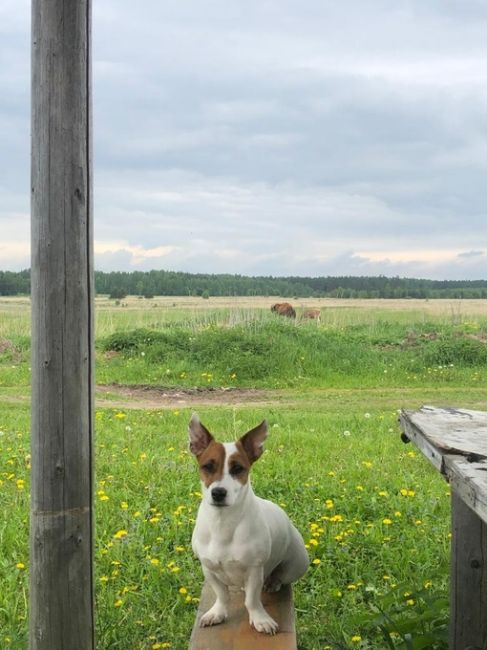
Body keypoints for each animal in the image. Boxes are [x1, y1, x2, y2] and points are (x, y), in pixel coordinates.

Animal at [189, 412, 310, 632]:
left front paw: (259, 619)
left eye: (238, 469)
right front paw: (218, 612)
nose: (218, 492)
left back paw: (273, 583)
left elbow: (252, 600)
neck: (223, 522)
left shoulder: (254, 570)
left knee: (280, 577)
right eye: (207, 466)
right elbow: (222, 595)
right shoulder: (208, 569)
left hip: (296, 565)